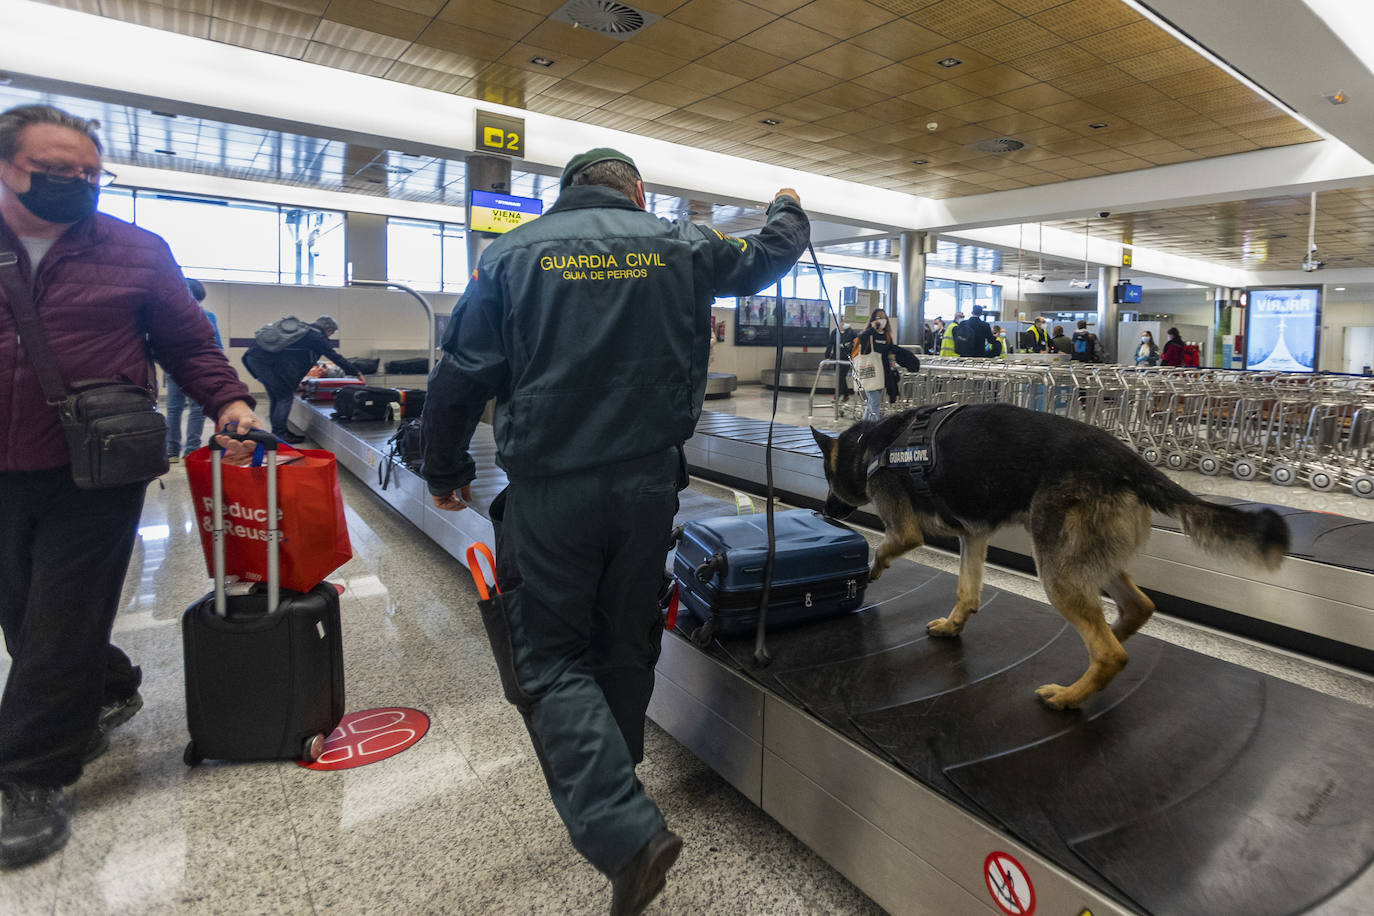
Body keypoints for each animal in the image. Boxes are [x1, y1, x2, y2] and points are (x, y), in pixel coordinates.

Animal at [802, 403, 1286, 714]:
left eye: (826, 477)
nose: (825, 511)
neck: (870, 446)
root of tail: (1126, 460)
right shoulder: (974, 536)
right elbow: (967, 591)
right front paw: (955, 625)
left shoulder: (906, 531)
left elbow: (886, 547)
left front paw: (873, 570)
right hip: (1083, 560)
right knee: (1136, 608)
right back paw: (1107, 639)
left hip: (1055, 568)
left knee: (1110, 654)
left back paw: (1069, 696)